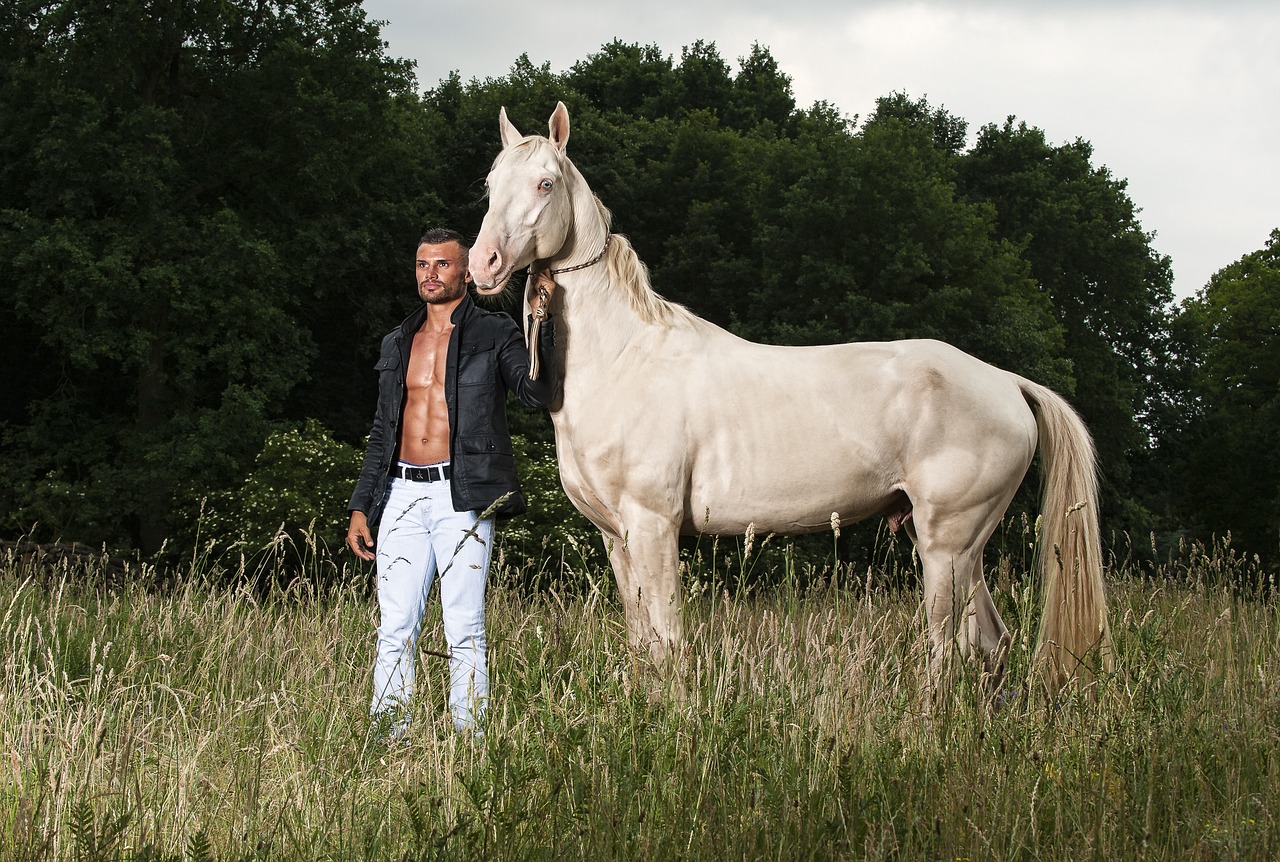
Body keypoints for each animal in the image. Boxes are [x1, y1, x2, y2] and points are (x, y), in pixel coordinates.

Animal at [468, 102, 1111, 691]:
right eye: (490, 184)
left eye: (545, 183)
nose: (483, 264)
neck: (626, 355)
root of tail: (1006, 382)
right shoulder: (615, 536)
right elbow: (641, 640)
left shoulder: (652, 526)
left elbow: (668, 641)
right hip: (962, 546)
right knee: (991, 645)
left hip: (946, 545)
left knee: (947, 651)